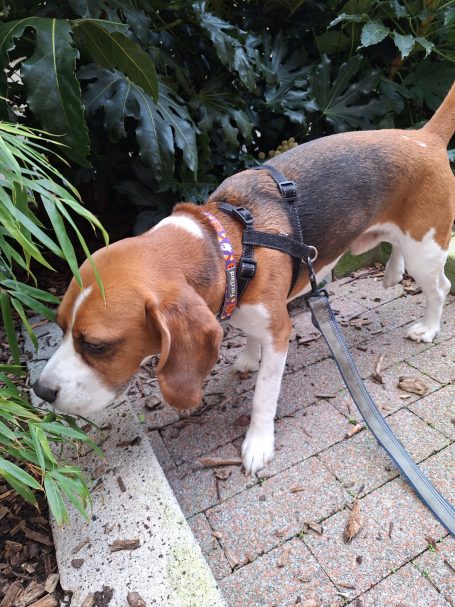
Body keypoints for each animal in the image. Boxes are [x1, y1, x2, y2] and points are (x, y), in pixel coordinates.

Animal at [34, 83, 455, 478]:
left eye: (96, 345)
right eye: (60, 327)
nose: (40, 390)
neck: (227, 245)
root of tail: (425, 136)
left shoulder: (280, 331)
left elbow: (263, 397)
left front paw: (258, 443)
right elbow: (250, 336)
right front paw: (249, 358)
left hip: (425, 248)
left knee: (440, 288)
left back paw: (428, 328)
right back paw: (392, 272)